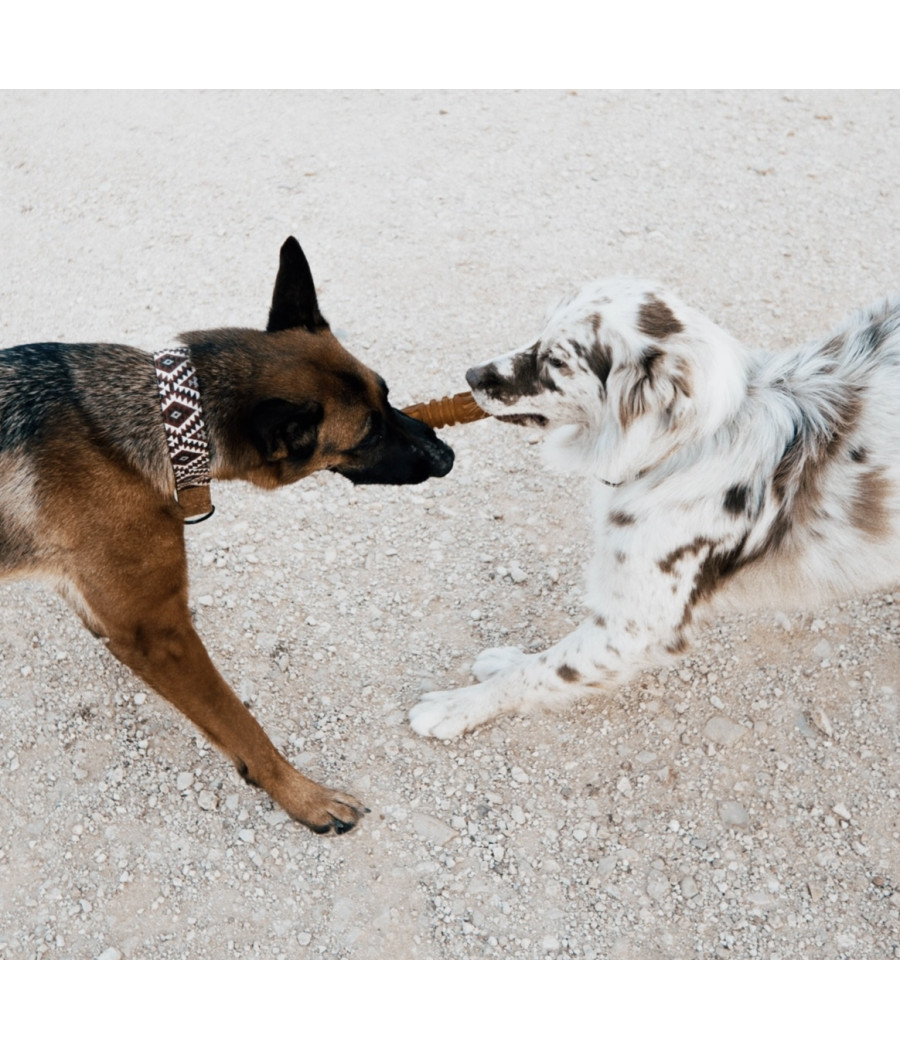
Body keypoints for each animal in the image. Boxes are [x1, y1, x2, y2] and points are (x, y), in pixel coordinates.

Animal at [0, 238, 449, 835]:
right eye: (368, 436)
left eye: (388, 396)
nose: (448, 455)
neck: (165, 421)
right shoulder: (158, 634)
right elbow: (240, 722)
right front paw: (304, 796)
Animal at [411, 279, 898, 739]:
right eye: (539, 332)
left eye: (558, 361)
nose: (472, 375)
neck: (686, 447)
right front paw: (503, 661)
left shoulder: (636, 627)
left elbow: (542, 670)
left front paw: (456, 707)